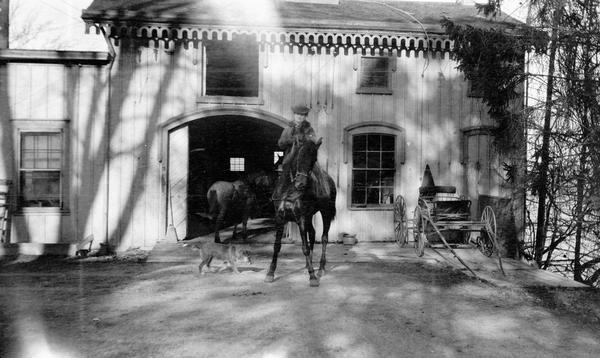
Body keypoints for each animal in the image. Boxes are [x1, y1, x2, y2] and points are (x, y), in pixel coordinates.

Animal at [266, 138, 338, 288]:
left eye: (314, 159)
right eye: (298, 157)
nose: (301, 184)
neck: (288, 190)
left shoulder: (301, 218)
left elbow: (304, 247)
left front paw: (313, 277)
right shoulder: (280, 218)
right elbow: (277, 246)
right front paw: (270, 273)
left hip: (325, 212)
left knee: (324, 237)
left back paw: (321, 269)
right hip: (310, 216)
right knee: (313, 233)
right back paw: (307, 266)